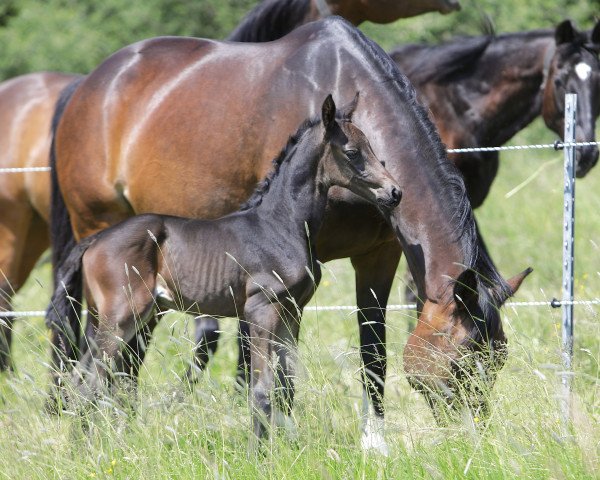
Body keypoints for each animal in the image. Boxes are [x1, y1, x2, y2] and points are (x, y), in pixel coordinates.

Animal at [48, 94, 404, 438]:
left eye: (375, 149)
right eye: (352, 152)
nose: (395, 192)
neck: (281, 224)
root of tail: (94, 240)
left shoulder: (292, 312)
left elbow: (286, 387)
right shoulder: (261, 309)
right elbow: (261, 390)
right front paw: (260, 452)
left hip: (107, 318)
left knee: (86, 381)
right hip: (121, 317)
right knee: (88, 385)